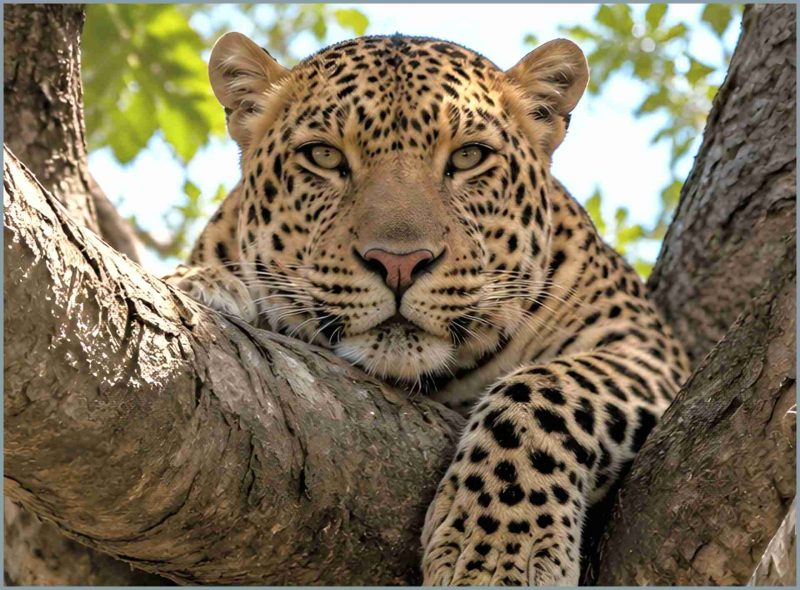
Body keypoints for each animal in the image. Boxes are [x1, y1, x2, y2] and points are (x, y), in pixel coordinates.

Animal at [164, 31, 691, 586]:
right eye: (324, 156)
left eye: (469, 157)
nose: (399, 263)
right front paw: (204, 282)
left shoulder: (650, 353)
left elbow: (544, 390)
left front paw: (497, 552)